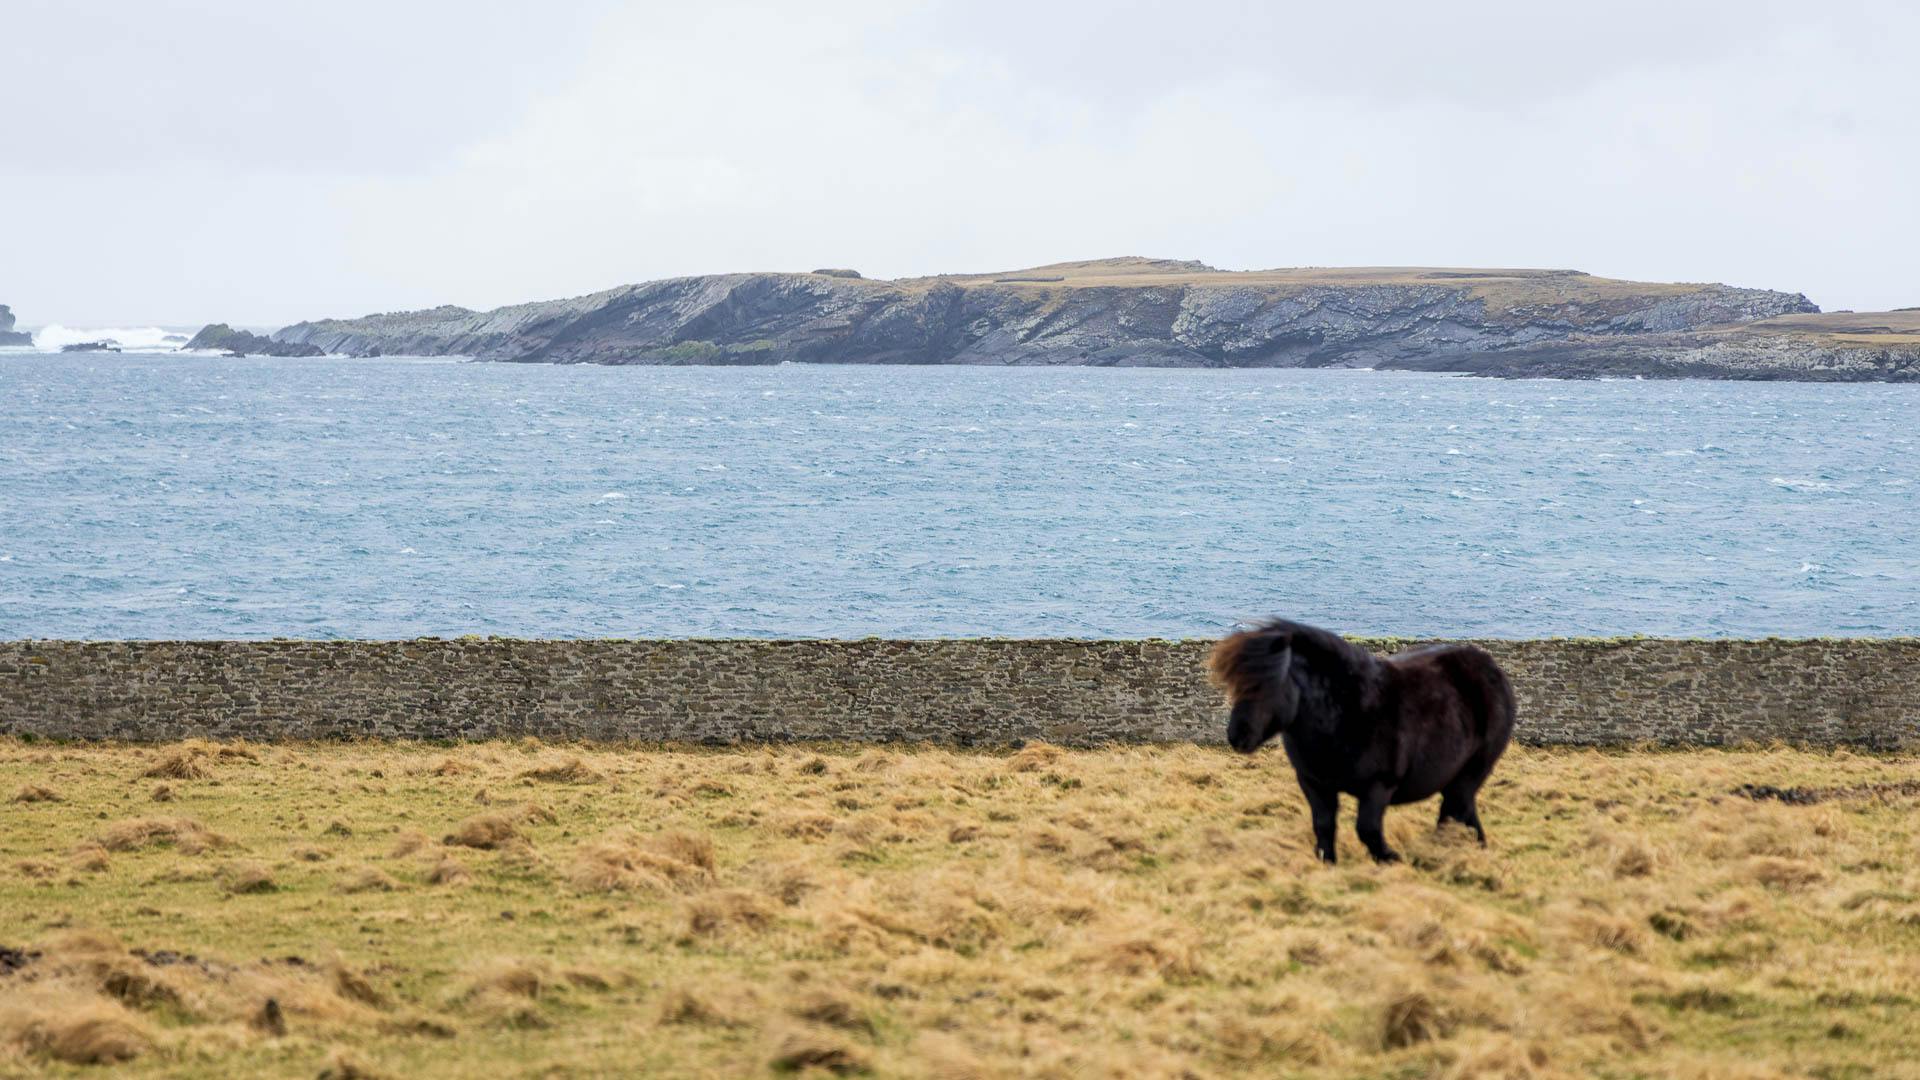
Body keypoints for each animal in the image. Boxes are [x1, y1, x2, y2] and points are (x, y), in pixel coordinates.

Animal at [1208, 619, 1514, 864]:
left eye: (1265, 683)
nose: (1237, 735)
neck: (1344, 714)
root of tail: (1491, 668)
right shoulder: (1314, 784)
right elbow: (1323, 826)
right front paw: (1328, 865)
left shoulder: (1378, 787)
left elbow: (1367, 830)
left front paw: (1392, 860)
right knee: (1460, 815)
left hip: (1471, 772)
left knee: (1456, 810)